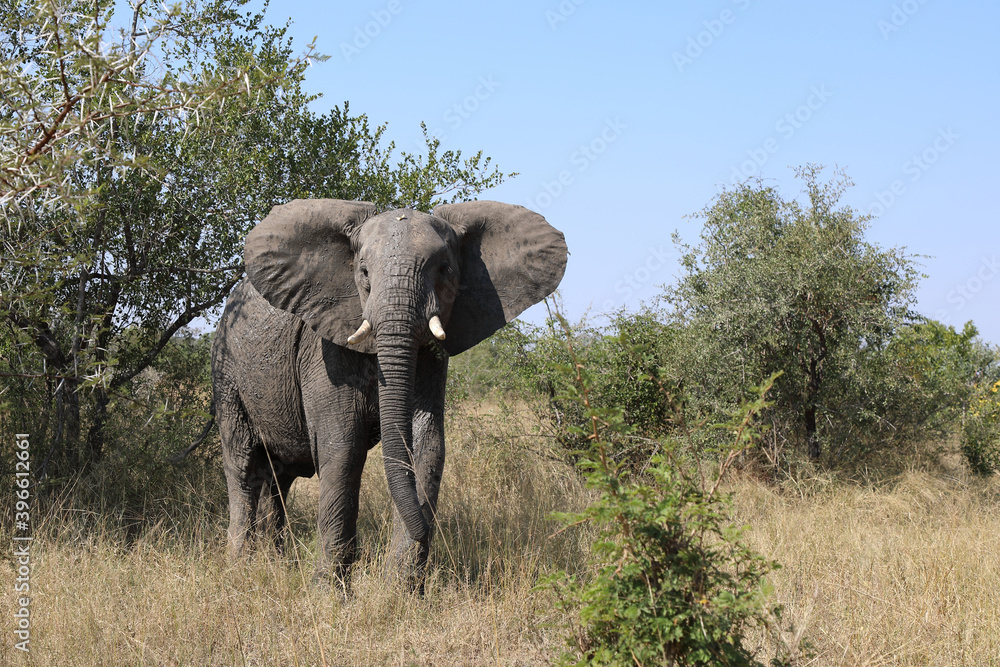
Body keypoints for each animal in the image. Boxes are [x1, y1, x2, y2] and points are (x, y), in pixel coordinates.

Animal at [211, 198, 567, 590]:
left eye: (445, 269)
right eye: (364, 273)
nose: (429, 530)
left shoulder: (431, 354)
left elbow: (426, 444)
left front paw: (403, 591)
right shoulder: (323, 349)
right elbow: (343, 447)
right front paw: (331, 592)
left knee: (279, 479)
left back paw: (274, 563)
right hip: (226, 370)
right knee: (243, 465)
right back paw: (239, 566)